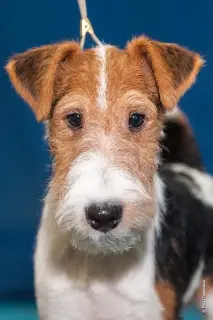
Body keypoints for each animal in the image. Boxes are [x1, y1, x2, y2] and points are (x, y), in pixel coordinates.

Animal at [5, 37, 213, 320]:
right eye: (74, 118)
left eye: (136, 118)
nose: (103, 214)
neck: (99, 259)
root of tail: (191, 171)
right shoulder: (60, 308)